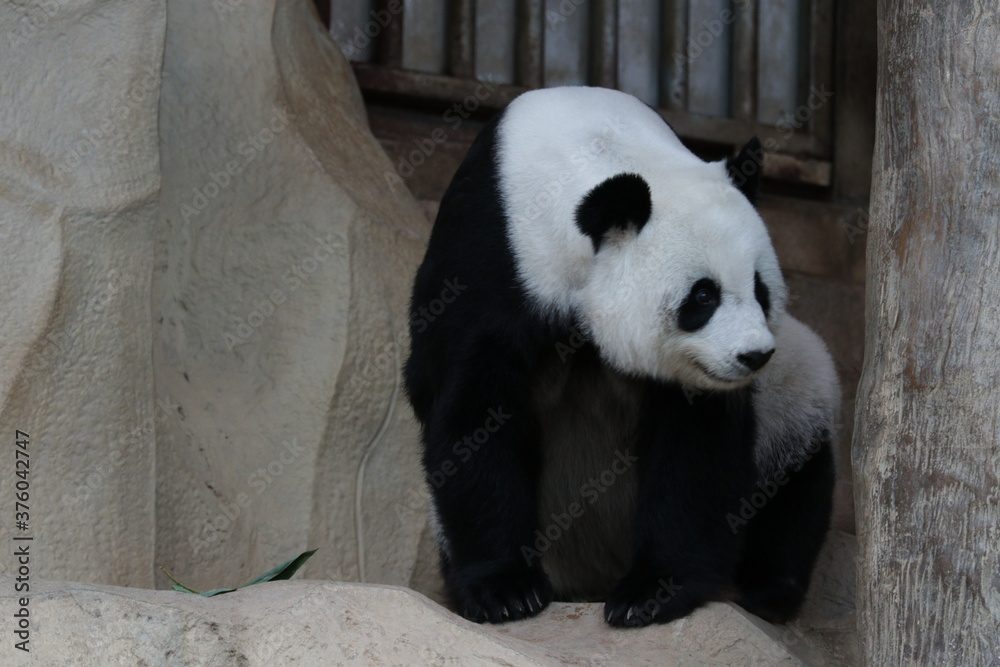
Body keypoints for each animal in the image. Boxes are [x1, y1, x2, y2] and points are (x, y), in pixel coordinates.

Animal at [404, 86, 838, 628]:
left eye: (761, 291)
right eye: (703, 296)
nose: (754, 355)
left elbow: (695, 445)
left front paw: (651, 592)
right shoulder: (489, 262)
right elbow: (474, 417)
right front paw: (504, 591)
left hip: (791, 394)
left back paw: (769, 587)